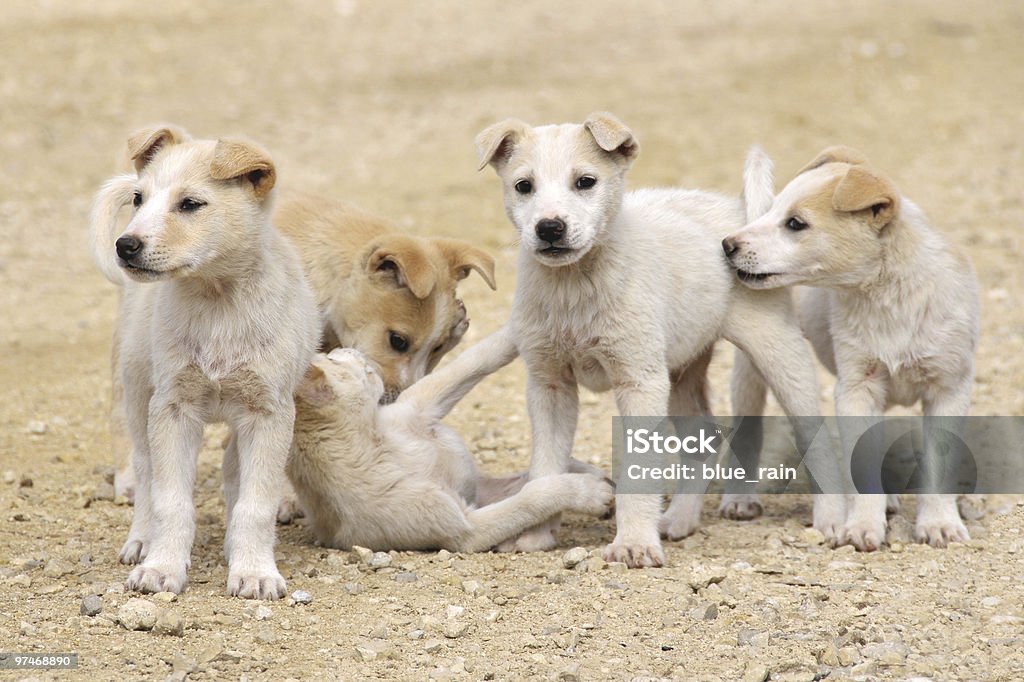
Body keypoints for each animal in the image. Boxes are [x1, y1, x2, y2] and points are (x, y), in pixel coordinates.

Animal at [91, 123, 319, 593]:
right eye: (139, 199)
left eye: (190, 204)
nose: (125, 245)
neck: (217, 303)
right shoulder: (172, 408)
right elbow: (171, 501)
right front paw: (161, 567)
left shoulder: (268, 413)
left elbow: (255, 503)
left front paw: (254, 571)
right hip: (137, 393)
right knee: (144, 472)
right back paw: (142, 540)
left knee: (233, 476)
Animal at [284, 329, 610, 552]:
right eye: (331, 358)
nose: (349, 348)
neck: (374, 441)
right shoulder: (466, 530)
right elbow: (531, 499)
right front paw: (590, 494)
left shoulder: (420, 403)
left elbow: (475, 359)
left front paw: (515, 326)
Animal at [473, 114, 831, 565]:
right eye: (524, 186)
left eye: (585, 182)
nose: (550, 227)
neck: (574, 286)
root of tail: (741, 217)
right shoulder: (549, 385)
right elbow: (545, 467)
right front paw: (536, 533)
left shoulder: (639, 382)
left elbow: (637, 472)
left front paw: (634, 543)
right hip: (681, 371)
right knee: (703, 440)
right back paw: (678, 520)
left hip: (777, 349)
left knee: (815, 435)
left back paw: (833, 519)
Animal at [724, 144, 978, 548]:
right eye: (775, 212)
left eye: (795, 224)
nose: (727, 244)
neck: (887, 295)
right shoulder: (857, 388)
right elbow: (862, 464)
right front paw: (861, 526)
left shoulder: (949, 388)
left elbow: (939, 463)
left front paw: (939, 523)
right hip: (752, 368)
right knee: (748, 432)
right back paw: (739, 498)